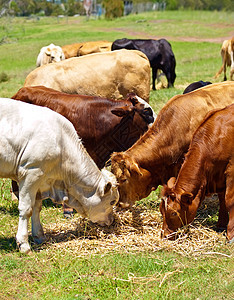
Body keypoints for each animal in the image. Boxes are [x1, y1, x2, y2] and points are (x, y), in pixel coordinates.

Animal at [0, 98, 119, 253]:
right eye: (112, 201)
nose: (111, 220)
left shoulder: (41, 180)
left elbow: (36, 207)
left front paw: (39, 237)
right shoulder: (31, 172)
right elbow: (26, 208)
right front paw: (24, 244)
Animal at [160, 104, 234, 243]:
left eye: (174, 213)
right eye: (161, 210)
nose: (165, 235)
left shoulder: (231, 171)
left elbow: (229, 200)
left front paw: (231, 234)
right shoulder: (219, 176)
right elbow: (222, 199)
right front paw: (221, 224)